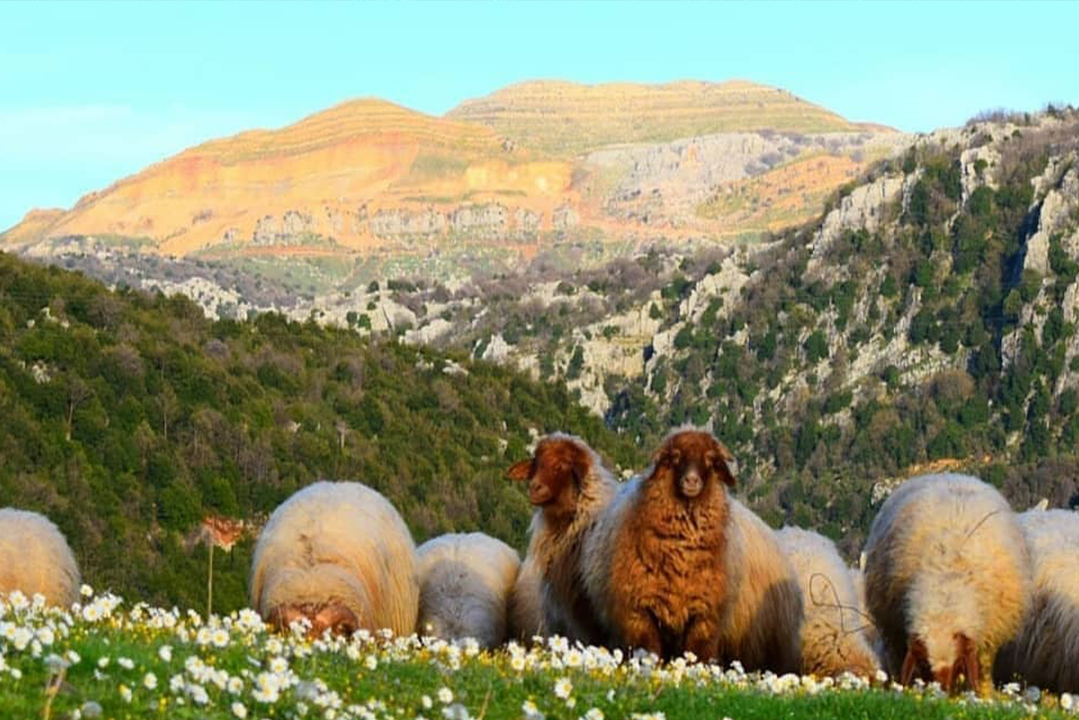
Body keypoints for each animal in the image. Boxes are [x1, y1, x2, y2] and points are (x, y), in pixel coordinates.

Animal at [863, 470, 1031, 695]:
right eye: (924, 665)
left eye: (958, 663)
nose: (940, 694)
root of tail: (950, 474)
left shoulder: (988, 637)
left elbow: (983, 669)